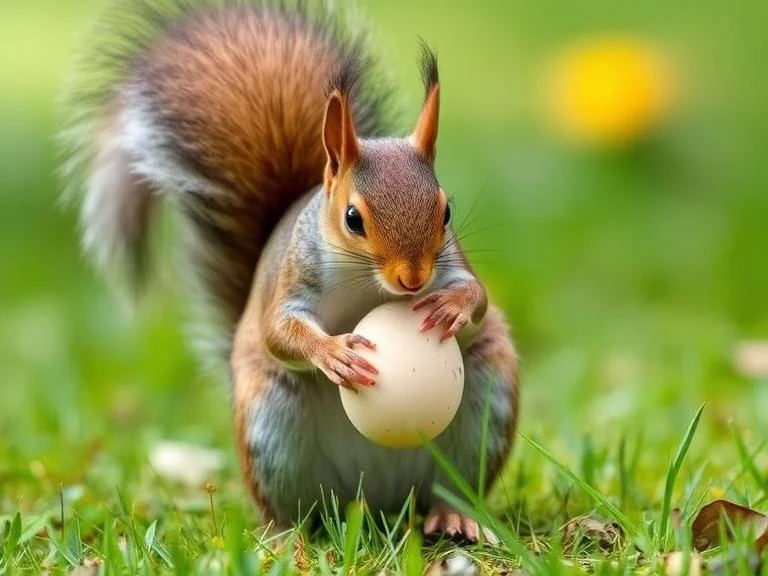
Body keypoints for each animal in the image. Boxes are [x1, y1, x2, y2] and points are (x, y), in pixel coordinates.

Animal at [60, 0, 519, 542]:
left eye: (446, 211)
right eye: (353, 218)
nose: (413, 280)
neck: (367, 283)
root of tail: (377, 499)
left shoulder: (451, 262)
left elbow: (479, 294)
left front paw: (451, 306)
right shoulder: (292, 277)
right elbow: (279, 331)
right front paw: (334, 353)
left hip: (484, 405)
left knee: (450, 488)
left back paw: (455, 517)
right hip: (271, 427)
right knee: (294, 509)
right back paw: (287, 538)